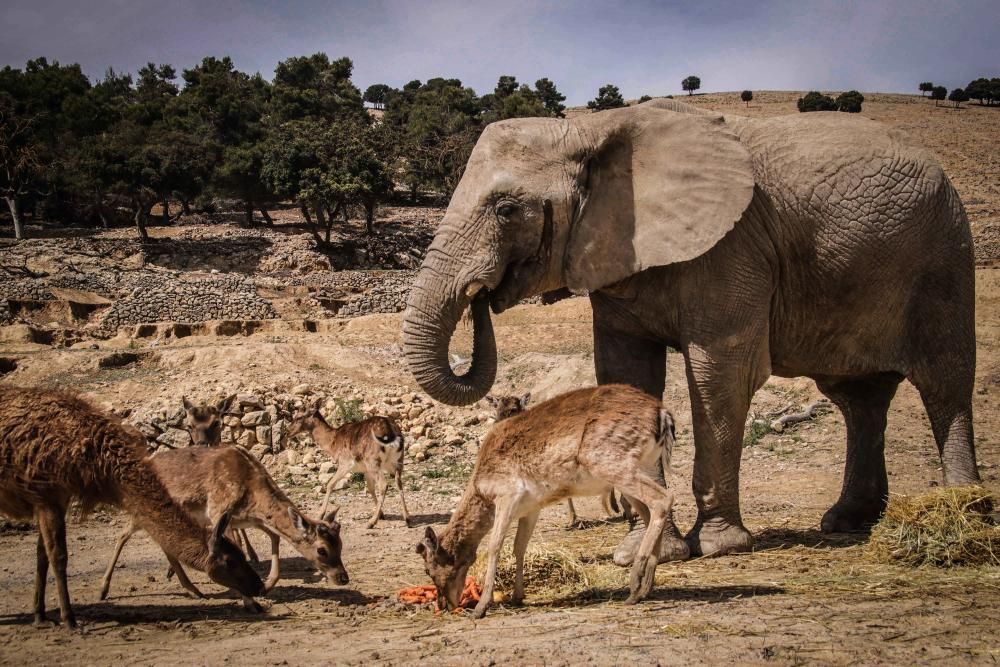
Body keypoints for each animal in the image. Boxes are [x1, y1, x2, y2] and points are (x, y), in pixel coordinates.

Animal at [0, 384, 266, 628]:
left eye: (217, 423)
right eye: (189, 425)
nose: (258, 587)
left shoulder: (53, 499)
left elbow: (42, 555)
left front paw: (40, 615)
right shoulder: (49, 496)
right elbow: (57, 554)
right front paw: (68, 618)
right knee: (129, 535)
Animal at [98, 444, 348, 600]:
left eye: (341, 545)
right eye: (322, 550)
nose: (343, 578)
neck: (251, 493)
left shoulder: (247, 520)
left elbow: (275, 537)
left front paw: (266, 585)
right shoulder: (219, 512)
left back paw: (190, 587)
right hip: (142, 511)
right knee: (123, 535)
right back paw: (103, 589)